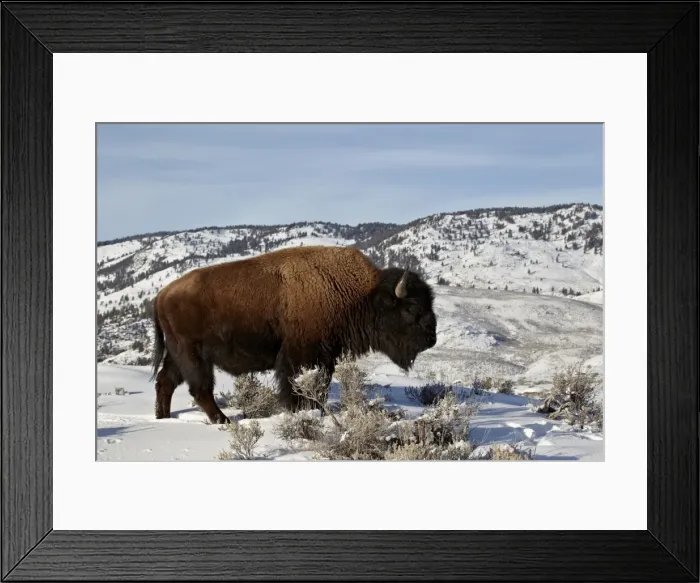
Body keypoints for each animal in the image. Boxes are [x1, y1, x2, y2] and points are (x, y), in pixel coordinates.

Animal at [150, 245, 437, 424]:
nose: (431, 338)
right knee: (200, 389)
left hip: (177, 354)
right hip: (193, 354)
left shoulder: (326, 356)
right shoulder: (301, 354)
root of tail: (161, 295)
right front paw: (302, 411)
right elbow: (299, 386)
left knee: (165, 382)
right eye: (412, 308)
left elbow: (320, 386)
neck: (359, 294)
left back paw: (163, 417)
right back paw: (224, 421)